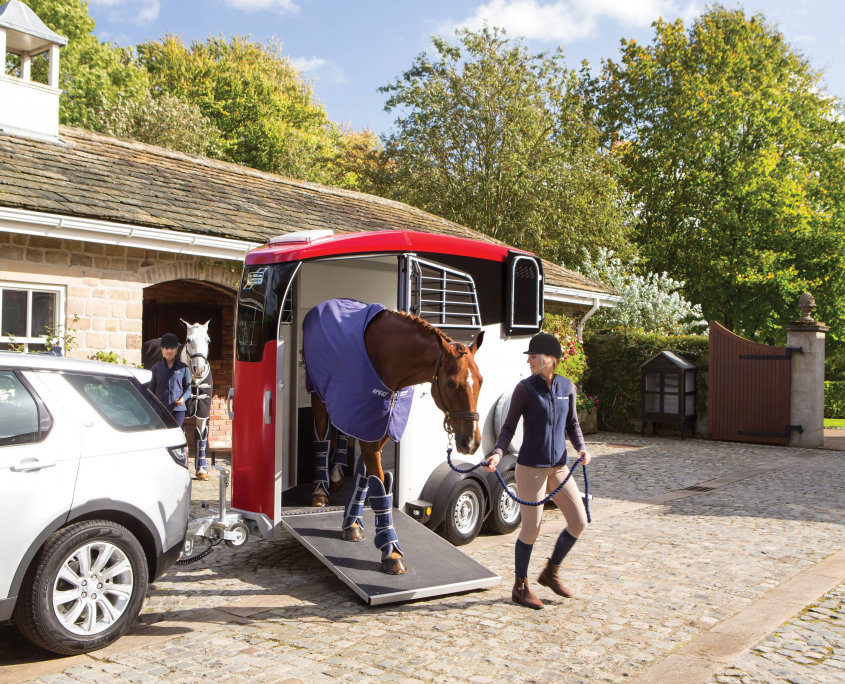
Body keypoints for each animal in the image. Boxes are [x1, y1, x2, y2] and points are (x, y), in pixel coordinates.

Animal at [308, 308, 482, 576]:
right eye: (451, 383)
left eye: (481, 380)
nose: (471, 441)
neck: (386, 356)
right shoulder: (368, 426)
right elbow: (379, 486)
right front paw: (391, 552)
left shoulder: (379, 427)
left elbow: (365, 476)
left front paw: (352, 523)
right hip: (318, 394)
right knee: (322, 435)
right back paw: (320, 490)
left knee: (342, 431)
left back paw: (336, 475)